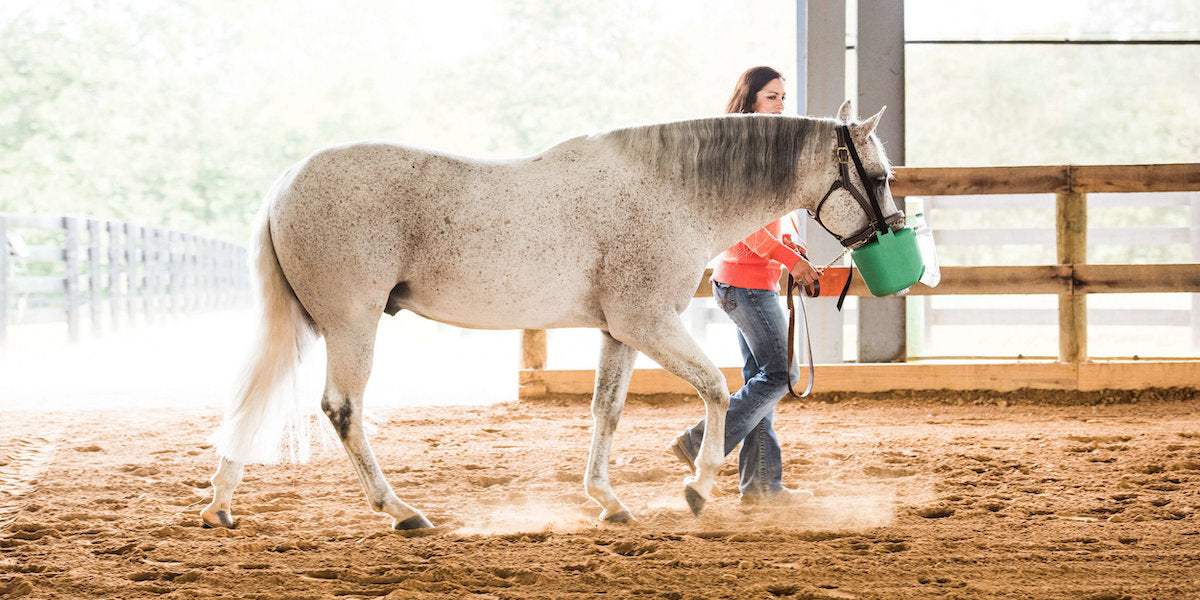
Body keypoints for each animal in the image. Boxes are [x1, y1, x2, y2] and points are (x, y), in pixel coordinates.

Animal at [199, 100, 892, 532]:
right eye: (881, 176)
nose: (890, 233)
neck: (672, 192)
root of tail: (287, 182)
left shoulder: (619, 333)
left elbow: (606, 412)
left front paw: (608, 501)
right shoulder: (649, 324)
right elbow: (717, 389)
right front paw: (697, 488)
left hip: (307, 322)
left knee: (254, 397)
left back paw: (221, 505)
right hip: (352, 323)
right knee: (342, 408)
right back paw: (401, 511)